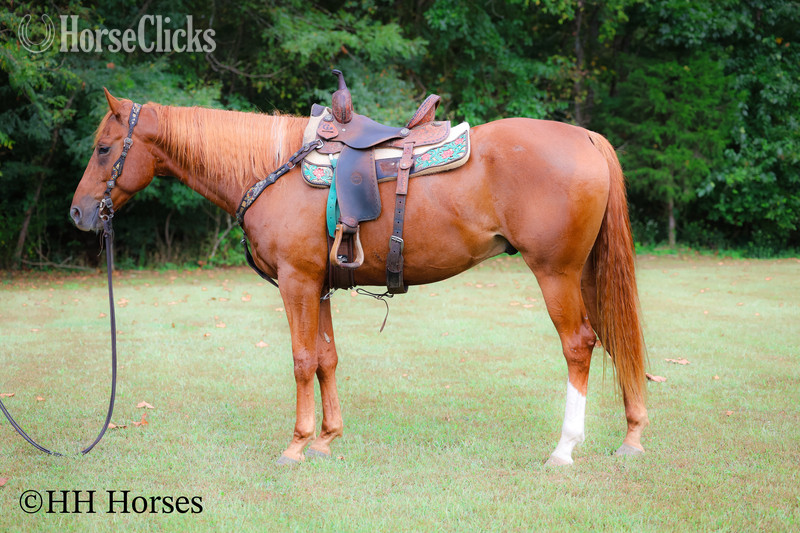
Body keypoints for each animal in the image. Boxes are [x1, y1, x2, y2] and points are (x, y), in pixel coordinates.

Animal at [70, 89, 648, 466]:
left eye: (103, 149)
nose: (78, 214)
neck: (273, 168)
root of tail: (586, 138)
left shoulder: (297, 282)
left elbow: (302, 360)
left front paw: (297, 444)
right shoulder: (318, 285)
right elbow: (326, 358)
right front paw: (327, 439)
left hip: (555, 273)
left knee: (579, 344)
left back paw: (565, 448)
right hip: (586, 272)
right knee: (614, 337)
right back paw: (632, 436)